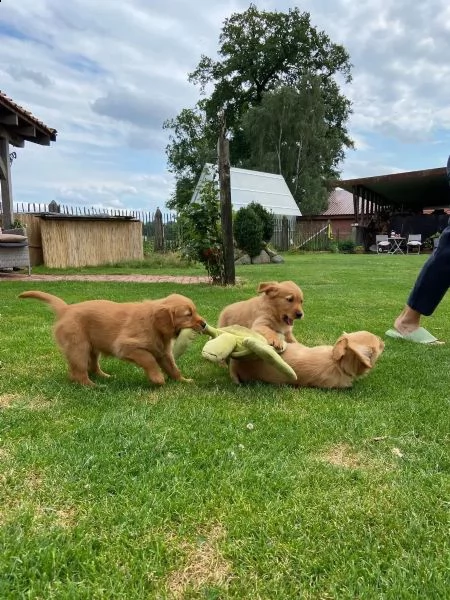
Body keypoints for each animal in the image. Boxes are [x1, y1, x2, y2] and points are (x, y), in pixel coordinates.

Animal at [18, 292, 206, 386]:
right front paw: (157, 378)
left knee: (92, 366)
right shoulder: (125, 346)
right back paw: (92, 386)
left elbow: (173, 368)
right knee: (79, 372)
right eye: (188, 314)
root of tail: (66, 308)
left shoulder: (163, 352)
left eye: (195, 311)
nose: (204, 324)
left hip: (92, 348)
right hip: (78, 346)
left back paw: (105, 377)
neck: (154, 325)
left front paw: (184, 380)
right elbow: (148, 359)